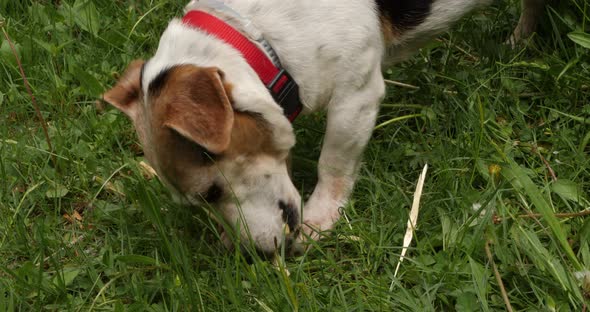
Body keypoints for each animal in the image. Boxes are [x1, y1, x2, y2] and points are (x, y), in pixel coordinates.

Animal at [104, 0, 548, 255]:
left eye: (211, 191)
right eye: (203, 202)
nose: (254, 255)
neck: (256, 34)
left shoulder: (356, 95)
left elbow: (333, 162)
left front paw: (320, 217)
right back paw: (520, 40)